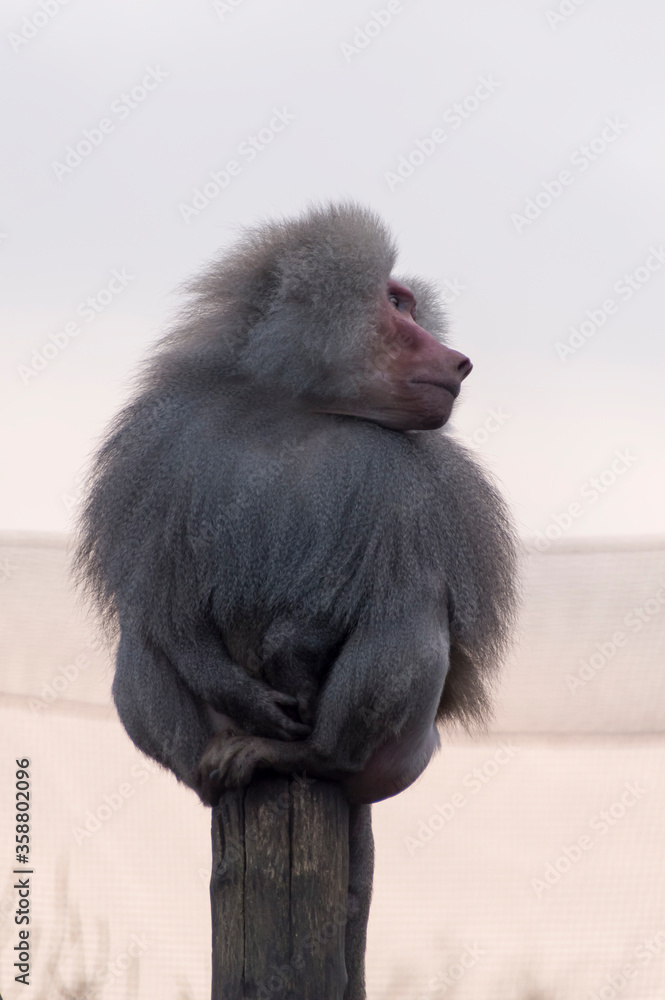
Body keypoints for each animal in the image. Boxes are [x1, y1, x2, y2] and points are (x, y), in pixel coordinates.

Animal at [74, 201, 518, 999]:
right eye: (397, 304)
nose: (459, 359)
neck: (295, 410)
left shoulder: (399, 480)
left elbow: (378, 588)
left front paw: (293, 654)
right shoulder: (163, 446)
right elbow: (161, 599)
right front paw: (236, 682)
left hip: (405, 751)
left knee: (406, 612)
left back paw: (312, 754)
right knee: (143, 645)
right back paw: (214, 766)